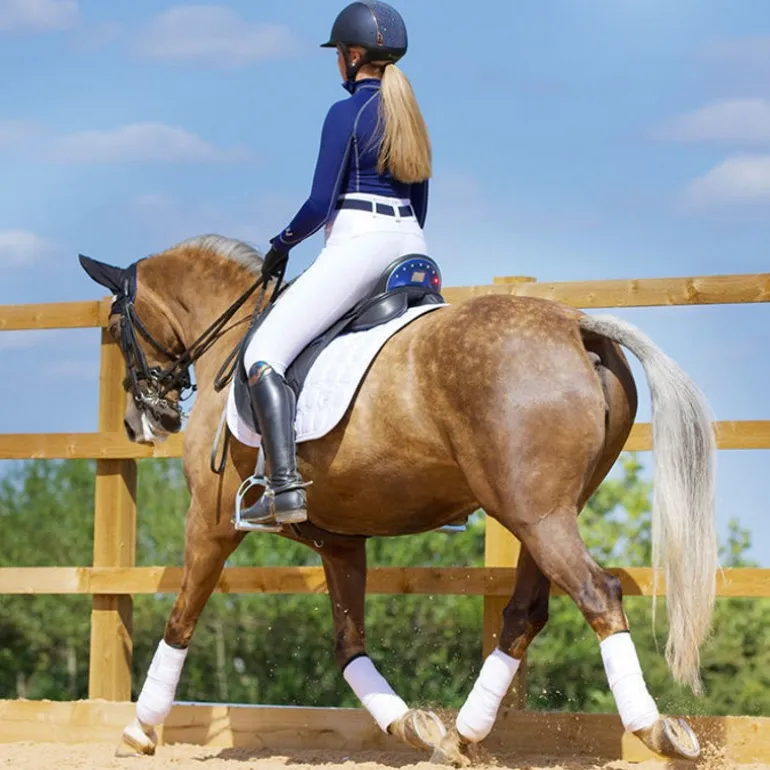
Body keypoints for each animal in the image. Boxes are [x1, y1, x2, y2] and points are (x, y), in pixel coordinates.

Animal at [79, 234, 717, 767]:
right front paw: (411, 724)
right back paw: (461, 736)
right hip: (546, 515)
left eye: (115, 325)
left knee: (596, 593)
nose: (141, 420)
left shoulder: (209, 526)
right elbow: (348, 646)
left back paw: (656, 729)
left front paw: (139, 730)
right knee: (526, 612)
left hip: (536, 516)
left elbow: (180, 622)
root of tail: (577, 326)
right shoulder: (338, 541)